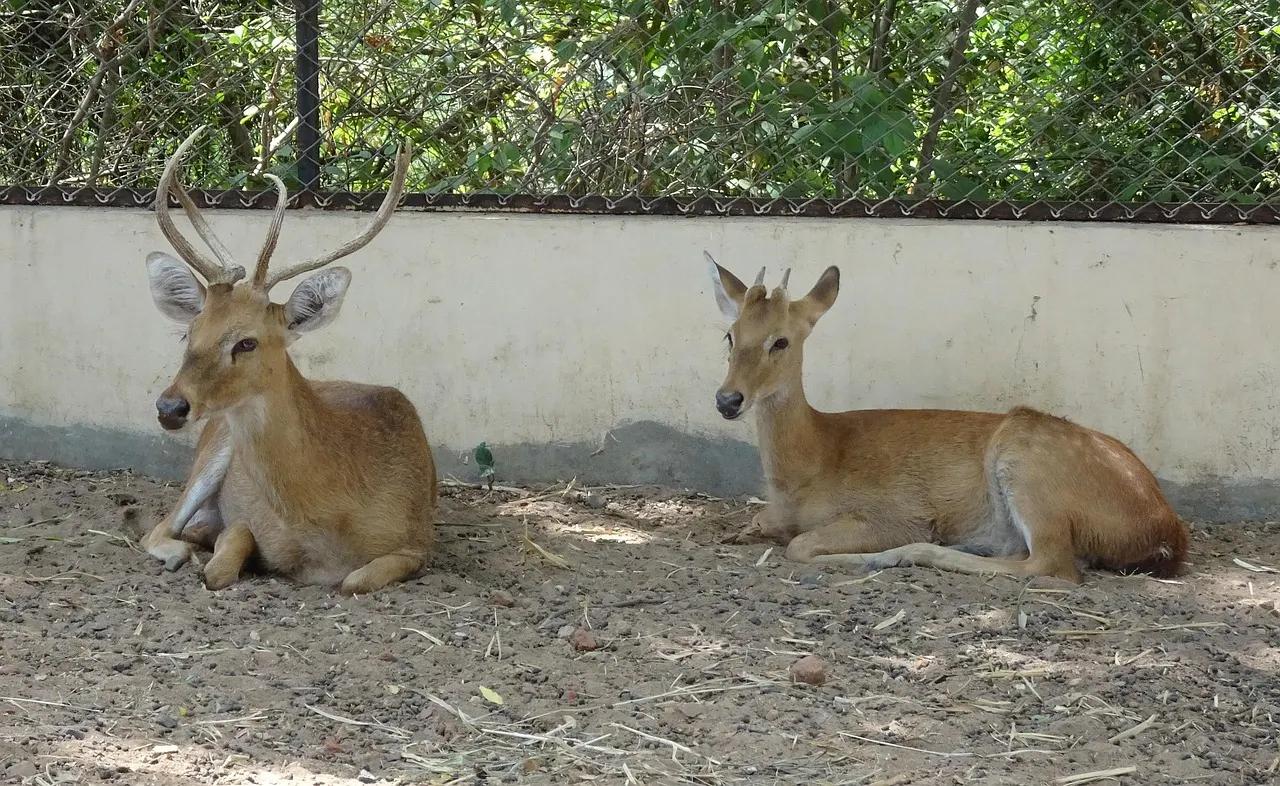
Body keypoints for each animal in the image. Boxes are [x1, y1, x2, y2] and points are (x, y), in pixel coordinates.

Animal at [132, 126, 438, 595]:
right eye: (188, 333)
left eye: (247, 343)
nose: (170, 406)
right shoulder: (245, 520)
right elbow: (222, 561)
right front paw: (210, 558)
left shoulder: (416, 542)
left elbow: (354, 581)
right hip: (212, 452)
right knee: (160, 528)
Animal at [702, 252, 1189, 583]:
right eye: (730, 335)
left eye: (781, 341)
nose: (728, 400)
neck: (812, 466)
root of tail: (1166, 531)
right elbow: (760, 522)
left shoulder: (892, 512)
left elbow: (800, 546)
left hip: (1028, 464)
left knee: (1053, 564)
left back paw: (910, 553)